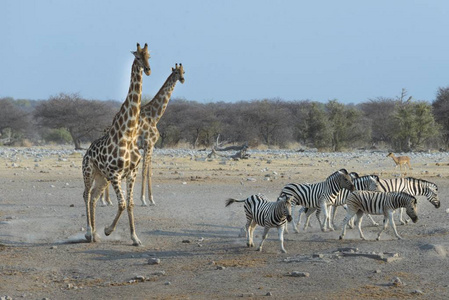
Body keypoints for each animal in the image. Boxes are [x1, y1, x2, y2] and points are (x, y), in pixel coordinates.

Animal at [81, 42, 150, 245]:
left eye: (149, 56)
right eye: (137, 56)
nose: (148, 69)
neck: (128, 133)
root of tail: (86, 152)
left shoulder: (131, 173)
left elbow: (130, 204)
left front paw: (135, 238)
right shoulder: (115, 173)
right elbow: (121, 203)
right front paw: (108, 230)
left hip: (102, 177)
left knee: (95, 197)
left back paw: (94, 234)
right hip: (90, 172)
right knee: (87, 195)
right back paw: (89, 232)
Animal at [138, 62, 184, 205]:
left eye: (184, 72)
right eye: (176, 72)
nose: (182, 79)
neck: (154, 116)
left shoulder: (151, 146)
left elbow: (149, 172)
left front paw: (152, 199)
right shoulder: (147, 144)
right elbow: (143, 171)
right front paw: (143, 200)